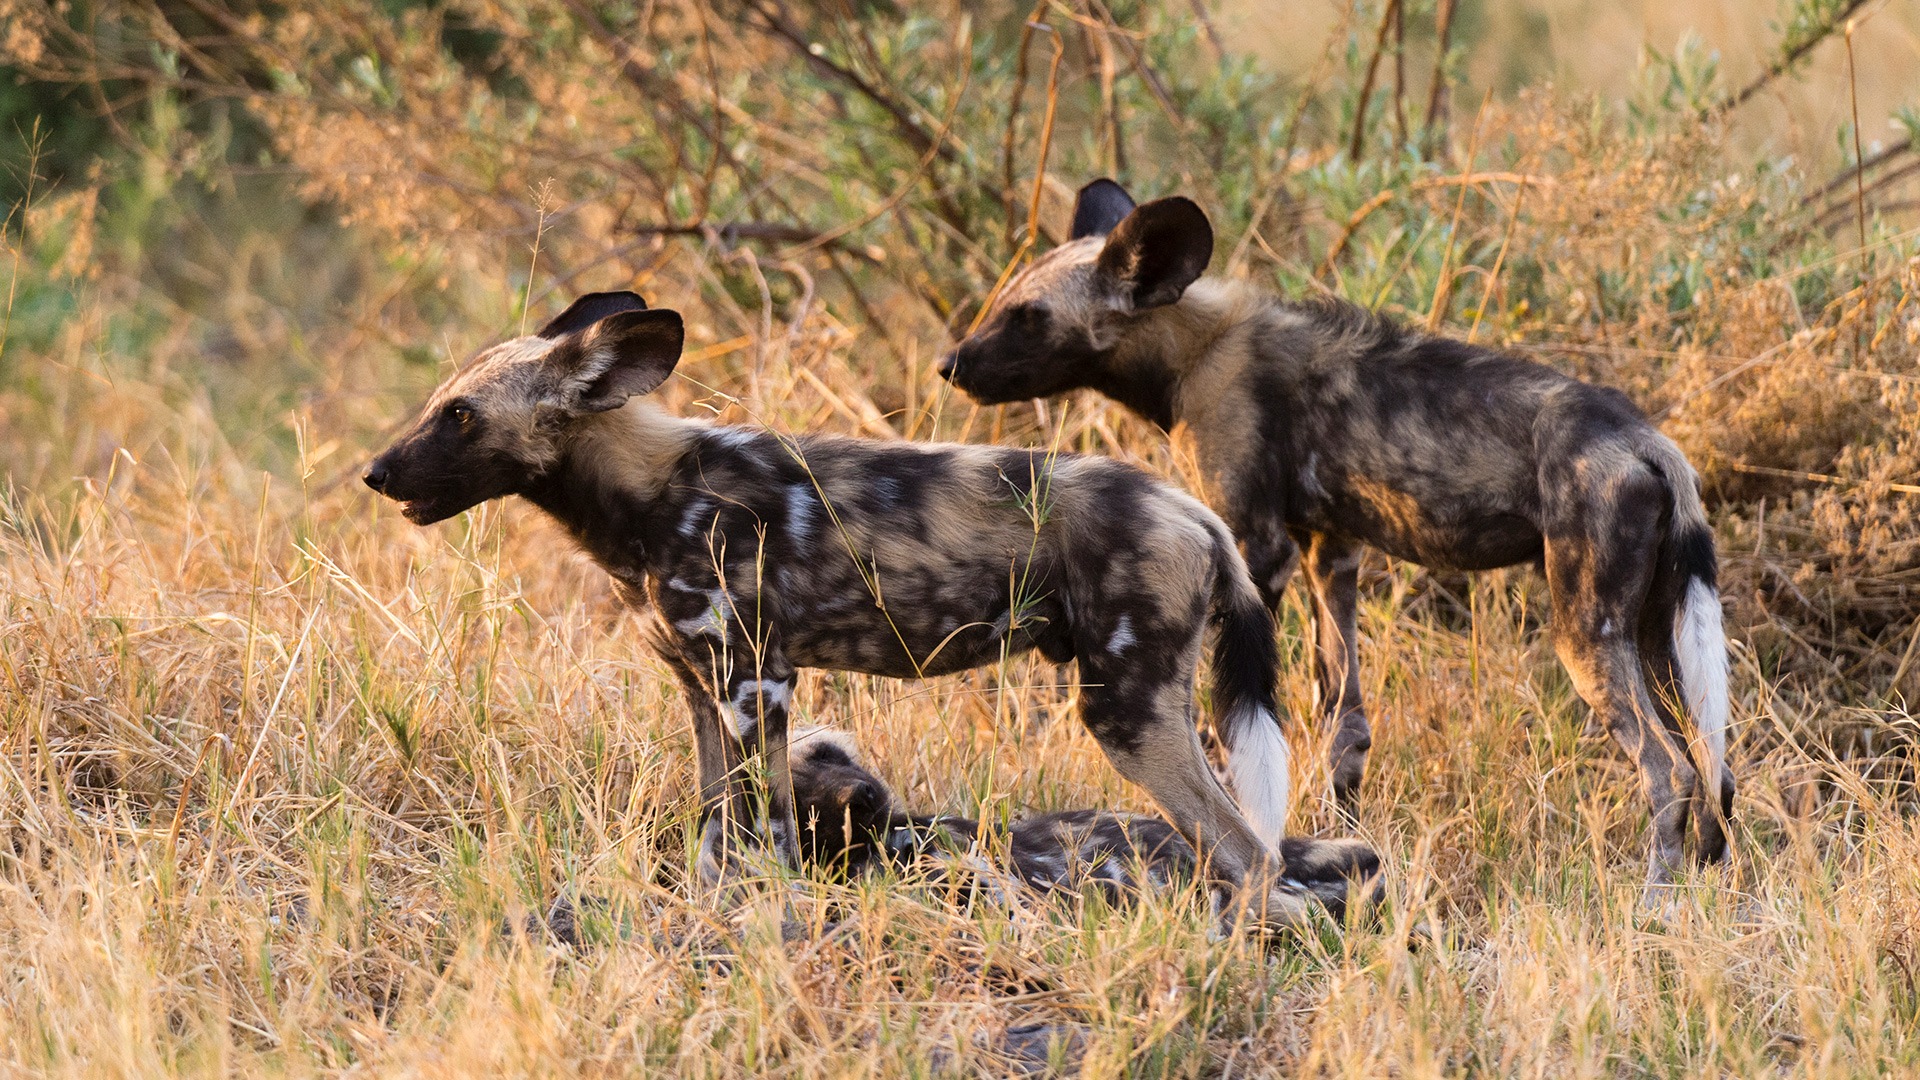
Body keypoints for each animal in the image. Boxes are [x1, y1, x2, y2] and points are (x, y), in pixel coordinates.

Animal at [944, 180, 1743, 895]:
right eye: (1004, 299)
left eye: (1028, 316)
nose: (950, 365)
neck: (1198, 348)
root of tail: (1641, 436)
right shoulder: (1331, 553)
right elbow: (1343, 728)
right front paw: (1339, 835)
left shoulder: (1257, 552)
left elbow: (1231, 729)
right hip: (1656, 638)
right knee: (1714, 767)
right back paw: (1707, 885)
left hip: (1586, 638)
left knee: (1668, 770)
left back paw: (1655, 900)